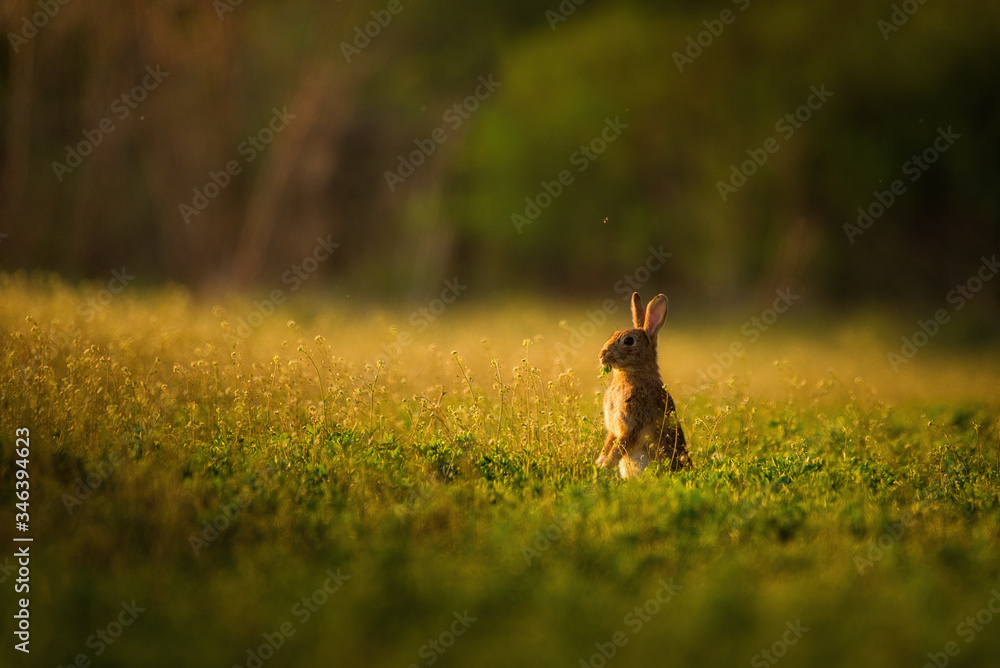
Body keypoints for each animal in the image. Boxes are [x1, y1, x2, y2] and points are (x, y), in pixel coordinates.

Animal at [597, 292, 691, 478]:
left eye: (628, 341)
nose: (602, 355)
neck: (632, 374)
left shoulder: (631, 425)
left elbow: (620, 446)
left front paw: (605, 466)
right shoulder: (614, 429)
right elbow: (609, 443)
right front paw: (599, 462)